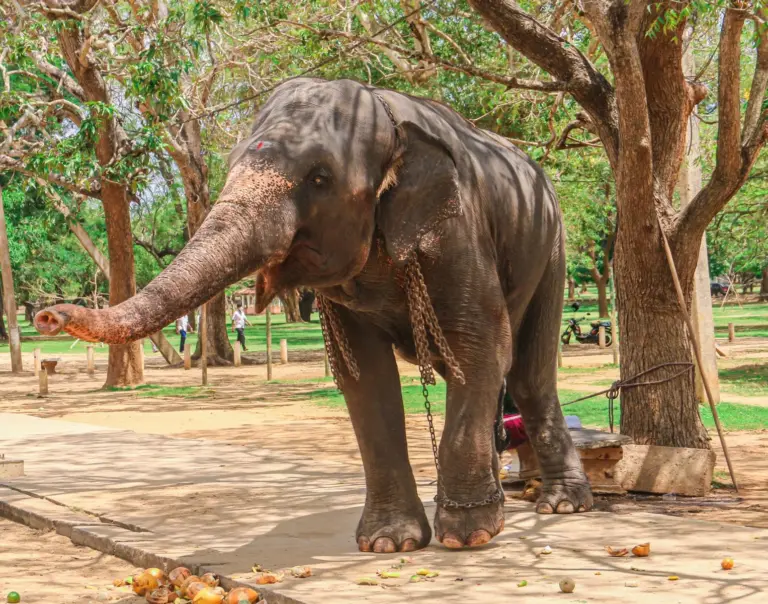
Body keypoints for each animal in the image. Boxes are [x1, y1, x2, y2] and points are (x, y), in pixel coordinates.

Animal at [34, 78, 592, 553]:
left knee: (528, 373)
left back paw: (560, 506)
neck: (389, 118)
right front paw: (388, 543)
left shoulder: (458, 229)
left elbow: (477, 347)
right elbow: (363, 375)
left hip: (553, 245)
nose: (46, 318)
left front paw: (468, 537)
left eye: (320, 179)